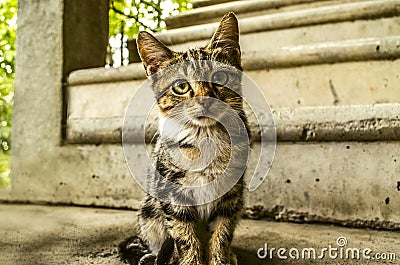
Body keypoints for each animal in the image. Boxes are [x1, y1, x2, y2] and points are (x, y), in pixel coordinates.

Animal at [136, 12, 248, 264]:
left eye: (220, 76)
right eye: (181, 87)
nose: (206, 100)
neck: (205, 138)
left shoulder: (230, 198)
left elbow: (222, 235)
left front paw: (221, 257)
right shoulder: (172, 195)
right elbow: (185, 238)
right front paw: (190, 258)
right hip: (149, 213)